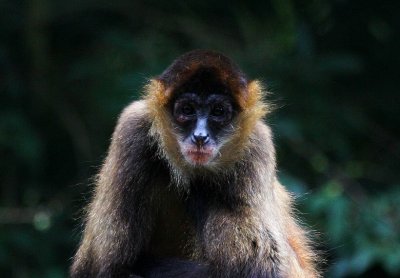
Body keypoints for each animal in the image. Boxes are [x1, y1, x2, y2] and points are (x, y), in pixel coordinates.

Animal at [69, 50, 318, 278]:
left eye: (218, 112)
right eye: (187, 110)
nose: (200, 137)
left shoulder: (257, 143)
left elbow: (262, 267)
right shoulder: (132, 128)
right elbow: (103, 268)